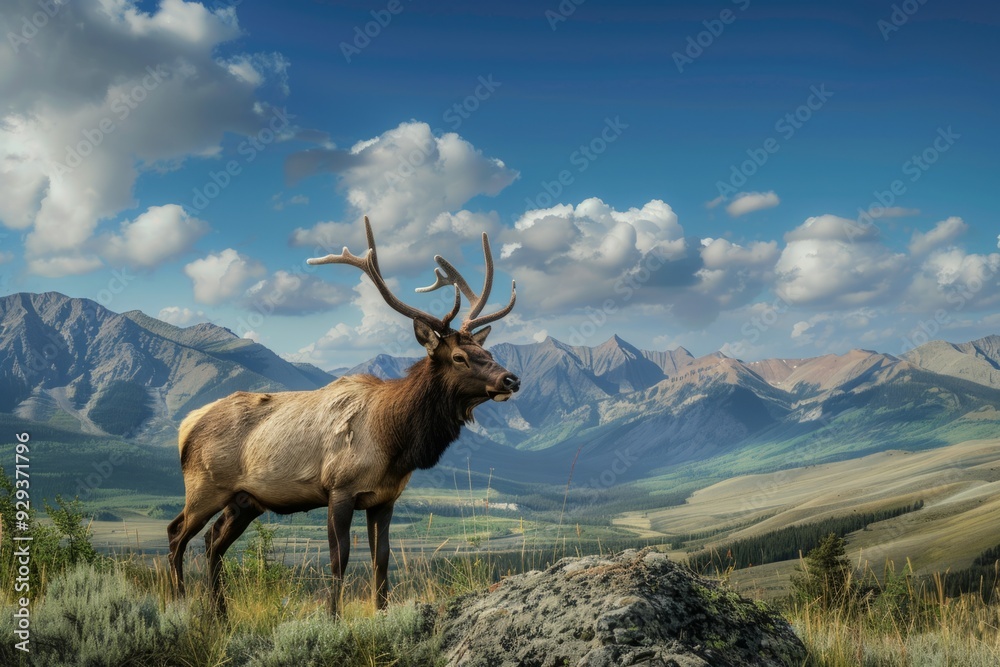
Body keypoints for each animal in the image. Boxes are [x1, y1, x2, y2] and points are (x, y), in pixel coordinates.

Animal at [166, 217, 519, 616]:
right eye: (459, 357)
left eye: (486, 351)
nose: (511, 379)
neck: (394, 440)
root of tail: (186, 425)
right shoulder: (339, 488)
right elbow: (340, 559)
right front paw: (333, 618)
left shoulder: (385, 498)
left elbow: (381, 560)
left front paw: (381, 613)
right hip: (204, 486)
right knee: (177, 534)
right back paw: (180, 606)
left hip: (245, 500)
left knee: (212, 541)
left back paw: (221, 615)